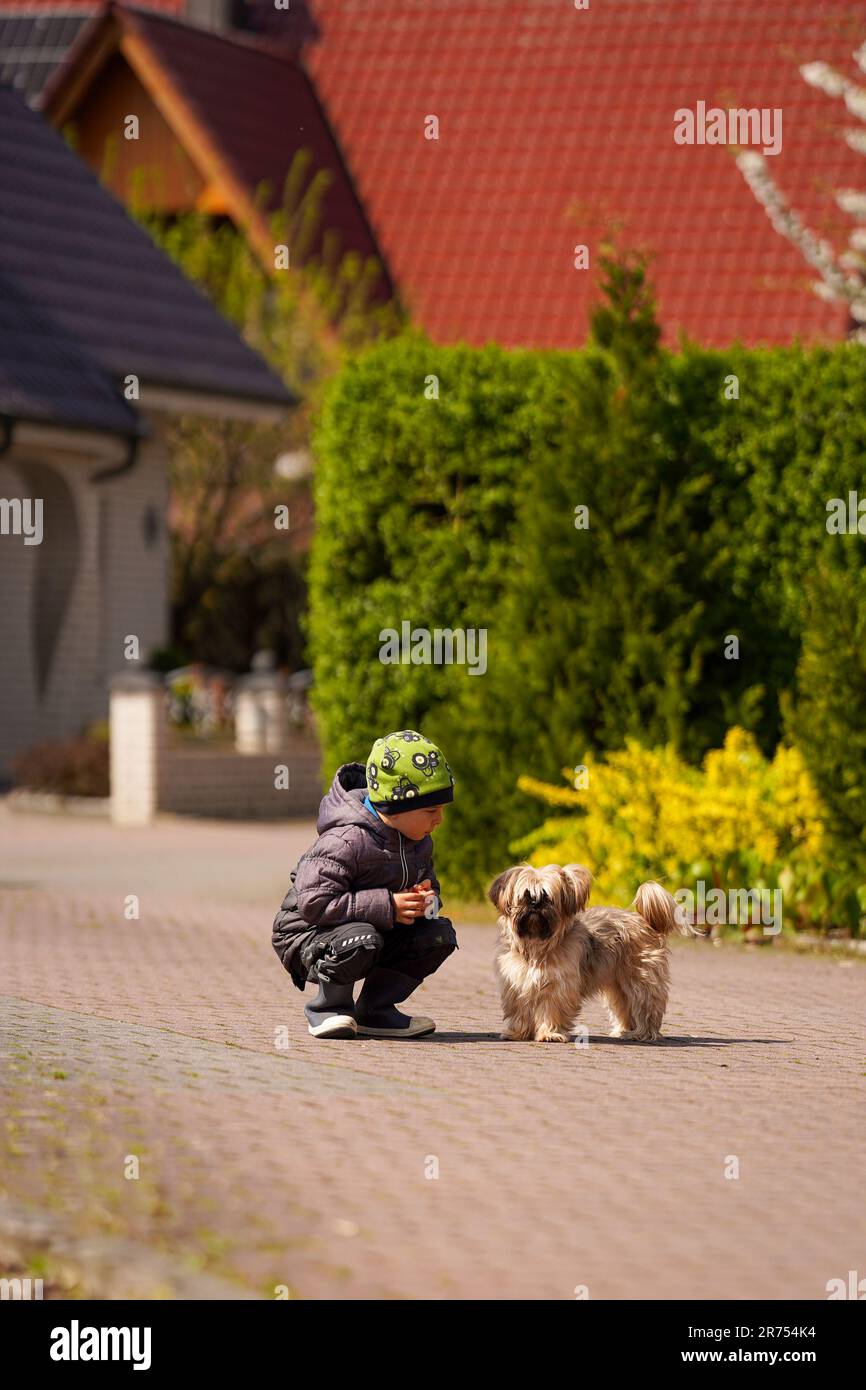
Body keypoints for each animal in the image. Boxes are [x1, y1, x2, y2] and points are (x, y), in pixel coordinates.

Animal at [489, 856, 697, 1045]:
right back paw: (624, 1031)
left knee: (647, 1008)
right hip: (618, 987)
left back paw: (642, 1033)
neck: (536, 946)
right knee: (625, 1008)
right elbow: (520, 1011)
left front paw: (550, 1033)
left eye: (547, 897)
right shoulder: (517, 984)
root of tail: (645, 921)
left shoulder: (558, 987)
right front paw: (517, 1033)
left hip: (641, 981)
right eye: (525, 895)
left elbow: (552, 1010)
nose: (535, 903)